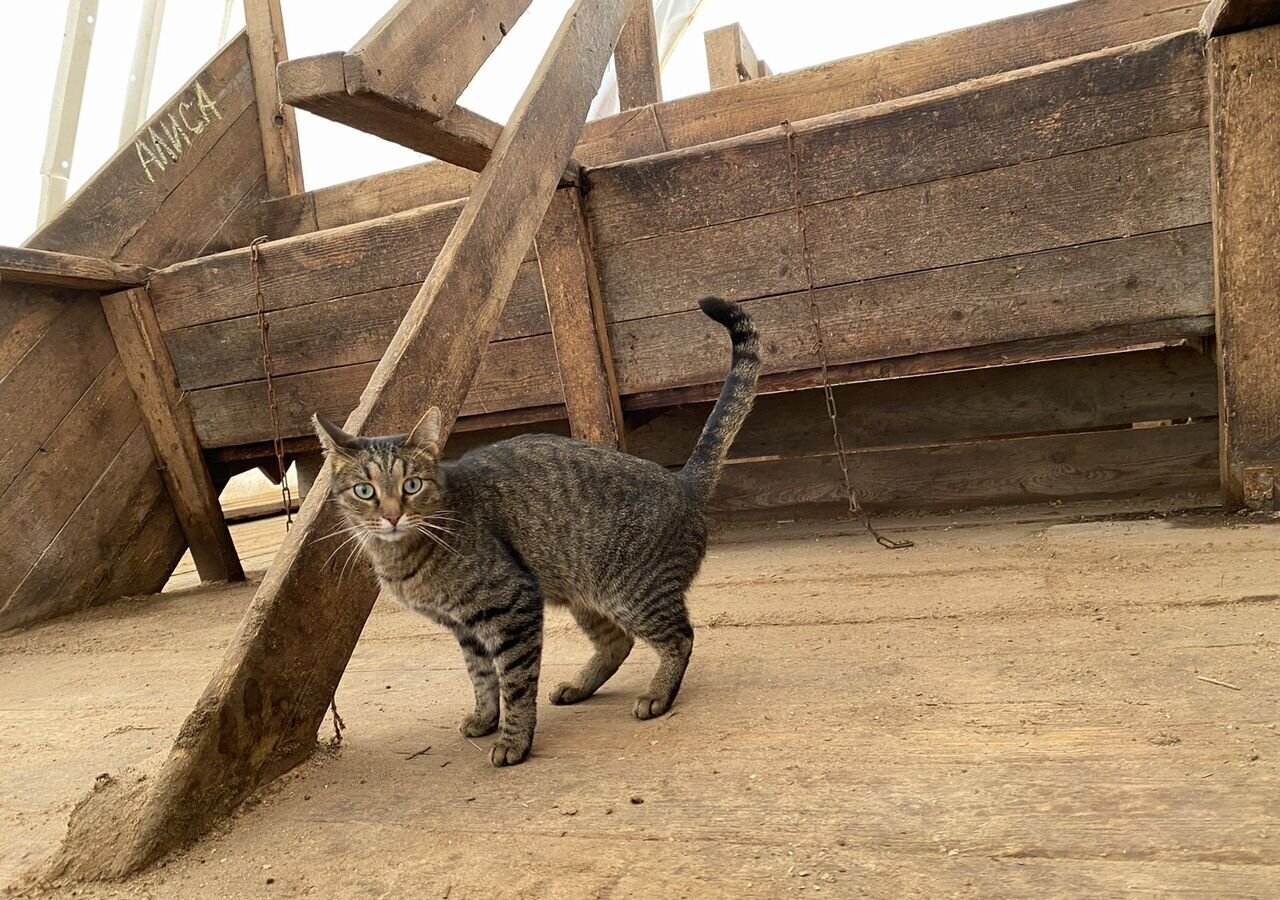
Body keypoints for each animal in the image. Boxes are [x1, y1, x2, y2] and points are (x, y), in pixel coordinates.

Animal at [316, 297, 757, 768]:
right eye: (365, 490)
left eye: (411, 485)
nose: (393, 515)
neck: (407, 555)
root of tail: (681, 481)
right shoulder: (466, 628)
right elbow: (482, 679)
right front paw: (484, 718)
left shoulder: (514, 606)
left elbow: (514, 682)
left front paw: (514, 739)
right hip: (587, 596)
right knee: (617, 642)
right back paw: (579, 685)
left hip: (632, 592)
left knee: (680, 637)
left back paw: (657, 694)